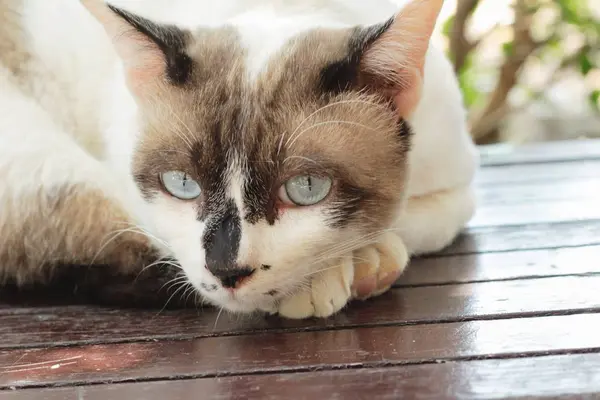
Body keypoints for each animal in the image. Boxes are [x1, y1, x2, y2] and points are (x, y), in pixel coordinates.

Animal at [0, 0, 478, 318]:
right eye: (181, 184)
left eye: (306, 189)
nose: (227, 271)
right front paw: (339, 272)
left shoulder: (457, 187)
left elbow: (407, 223)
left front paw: (361, 259)